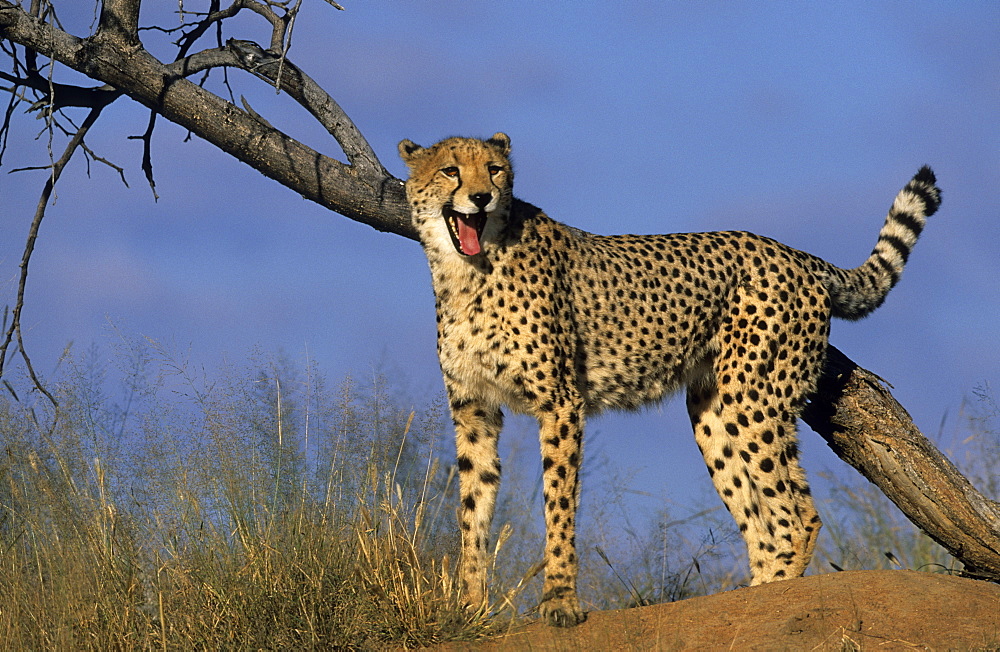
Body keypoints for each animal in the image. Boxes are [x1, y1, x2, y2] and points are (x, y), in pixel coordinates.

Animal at [396, 132, 936, 628]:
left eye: (494, 169)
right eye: (449, 170)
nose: (481, 197)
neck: (467, 270)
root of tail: (792, 252)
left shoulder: (560, 403)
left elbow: (558, 503)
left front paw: (560, 602)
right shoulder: (474, 411)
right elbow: (473, 508)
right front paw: (469, 609)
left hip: (753, 398)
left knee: (796, 516)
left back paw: (774, 601)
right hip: (713, 413)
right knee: (766, 522)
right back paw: (753, 594)